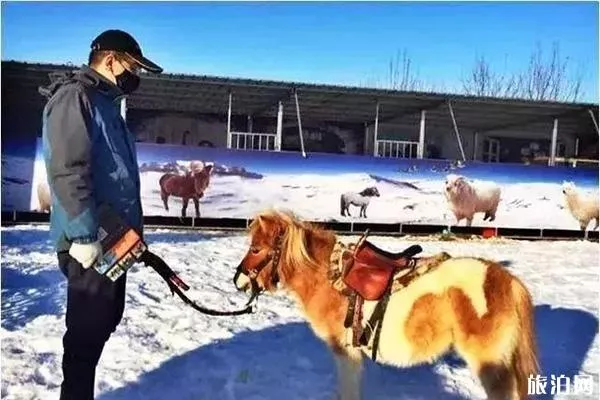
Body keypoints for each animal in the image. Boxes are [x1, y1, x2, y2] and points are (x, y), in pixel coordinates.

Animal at [233, 209, 540, 400]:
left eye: (256, 249)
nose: (238, 280)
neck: (328, 276)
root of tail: (508, 281)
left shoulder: (346, 353)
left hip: (490, 364)